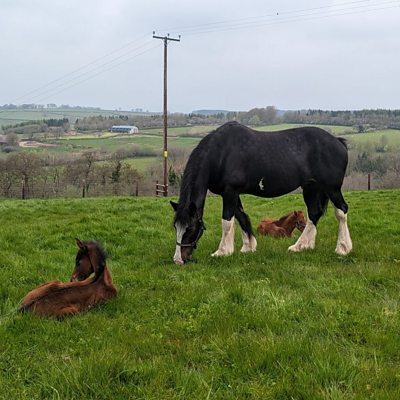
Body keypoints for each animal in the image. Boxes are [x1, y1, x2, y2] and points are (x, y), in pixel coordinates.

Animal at [170, 121, 352, 264]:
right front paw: (248, 247)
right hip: (311, 188)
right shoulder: (231, 193)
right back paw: (301, 246)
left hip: (332, 188)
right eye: (176, 227)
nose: (178, 260)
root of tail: (339, 142)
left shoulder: (230, 192)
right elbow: (241, 217)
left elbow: (227, 221)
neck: (221, 154)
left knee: (341, 211)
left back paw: (343, 248)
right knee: (314, 214)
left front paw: (222, 252)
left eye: (190, 228)